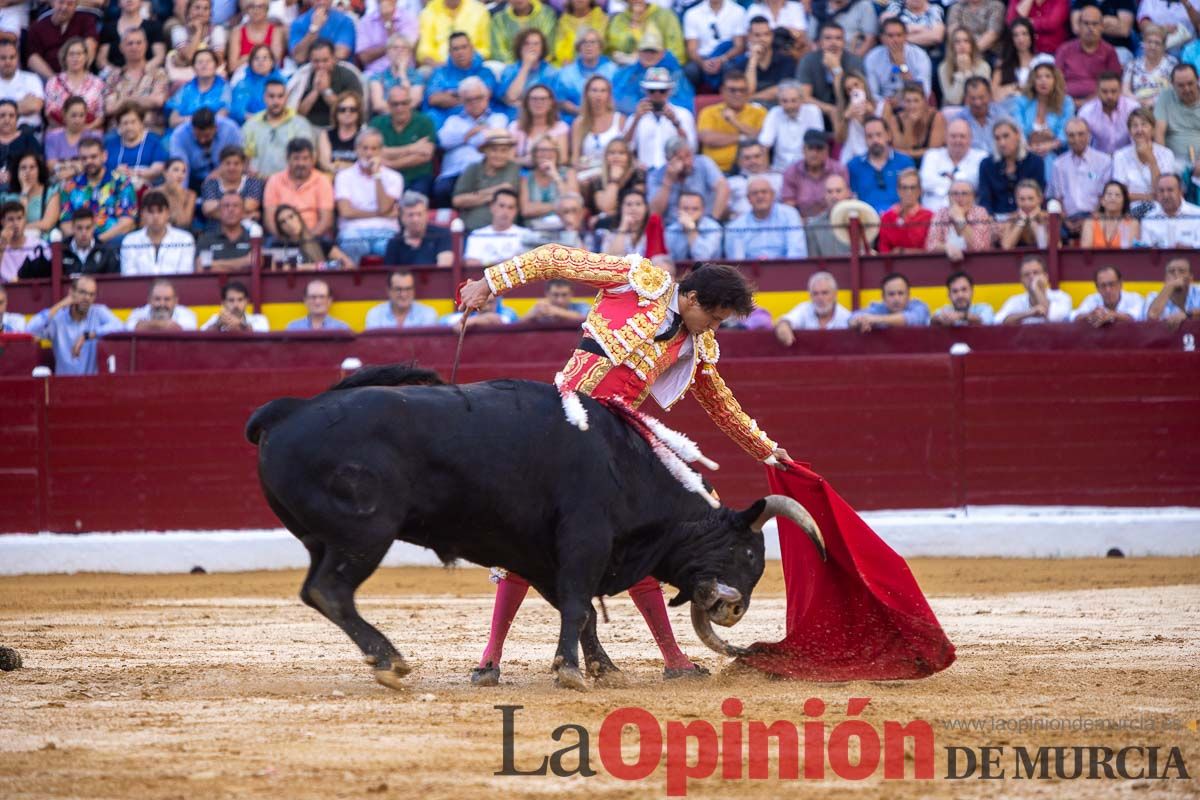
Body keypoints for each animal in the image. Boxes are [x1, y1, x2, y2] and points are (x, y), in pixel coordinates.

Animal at [243, 367, 825, 690]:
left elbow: (580, 609)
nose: (734, 610)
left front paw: (600, 669)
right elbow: (579, 606)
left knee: (317, 589)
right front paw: (572, 672)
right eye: (750, 555)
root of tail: (287, 412)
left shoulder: (545, 556)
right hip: (365, 534)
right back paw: (389, 660)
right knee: (331, 590)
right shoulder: (585, 540)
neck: (623, 463)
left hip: (324, 539)